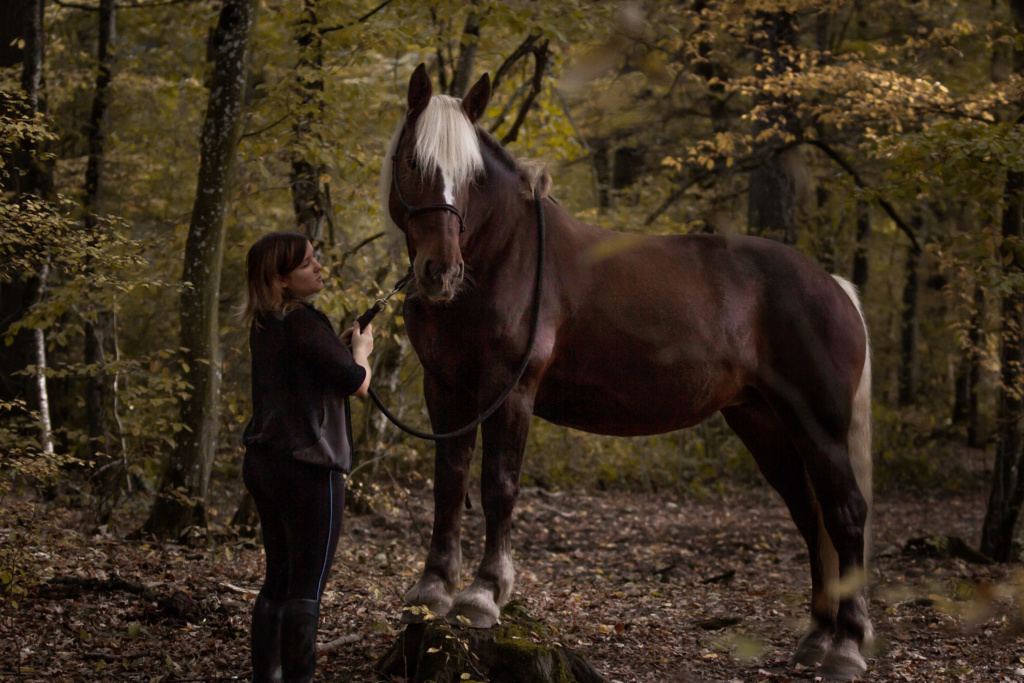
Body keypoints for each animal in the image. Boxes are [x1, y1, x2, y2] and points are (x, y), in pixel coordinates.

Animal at [380, 62, 876, 679]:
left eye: (471, 177)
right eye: (411, 163)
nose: (440, 273)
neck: (503, 258)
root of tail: (832, 285)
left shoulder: (510, 390)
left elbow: (498, 485)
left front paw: (483, 595)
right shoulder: (445, 388)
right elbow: (449, 482)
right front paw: (432, 590)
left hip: (819, 426)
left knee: (846, 514)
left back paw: (847, 647)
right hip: (764, 424)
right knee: (812, 518)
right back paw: (815, 639)